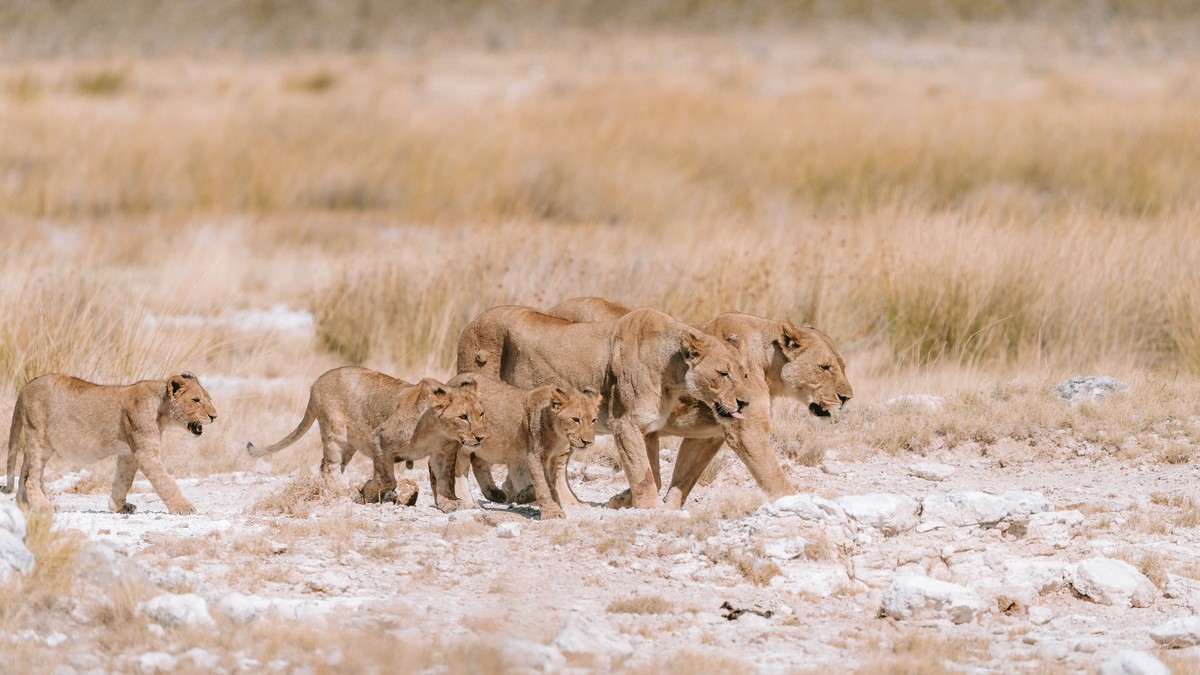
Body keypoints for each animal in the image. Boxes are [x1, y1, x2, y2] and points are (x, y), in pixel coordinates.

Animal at [4, 372, 217, 515]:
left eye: (209, 399)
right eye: (196, 400)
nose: (214, 416)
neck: (162, 410)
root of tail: (25, 387)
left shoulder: (129, 454)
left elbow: (123, 480)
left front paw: (118, 506)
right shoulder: (145, 453)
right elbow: (165, 481)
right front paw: (183, 507)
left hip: (38, 443)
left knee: (25, 473)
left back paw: (26, 505)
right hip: (39, 439)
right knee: (31, 479)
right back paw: (44, 506)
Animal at [433, 374, 600, 519]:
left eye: (593, 420)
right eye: (576, 419)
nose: (587, 441)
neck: (558, 436)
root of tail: (450, 382)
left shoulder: (550, 459)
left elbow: (548, 483)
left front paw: (524, 495)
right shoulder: (535, 456)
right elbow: (545, 485)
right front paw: (553, 512)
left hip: (491, 446)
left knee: (479, 463)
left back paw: (494, 493)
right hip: (467, 441)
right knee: (458, 469)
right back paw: (466, 501)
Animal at [456, 305, 765, 509]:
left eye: (743, 374)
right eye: (723, 374)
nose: (745, 402)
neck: (672, 373)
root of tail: (470, 323)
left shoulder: (646, 427)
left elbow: (650, 472)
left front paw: (623, 500)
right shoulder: (625, 422)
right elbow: (643, 475)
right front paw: (651, 510)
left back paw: (536, 497)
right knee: (465, 454)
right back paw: (471, 499)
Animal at [545, 297, 853, 508]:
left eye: (842, 365)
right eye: (825, 367)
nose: (846, 397)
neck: (767, 364)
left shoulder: (707, 436)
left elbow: (683, 478)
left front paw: (653, 505)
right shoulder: (747, 430)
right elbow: (773, 477)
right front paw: (797, 503)